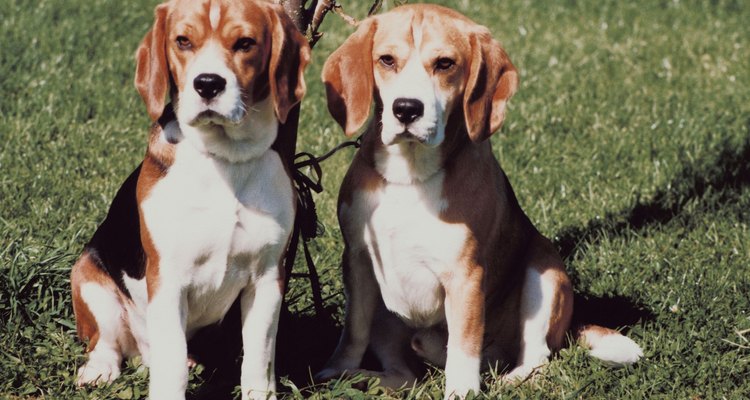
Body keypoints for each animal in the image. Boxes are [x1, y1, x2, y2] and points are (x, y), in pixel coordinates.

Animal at [67, 1, 308, 398]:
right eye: (183, 41)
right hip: (87, 276)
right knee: (106, 343)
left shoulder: (267, 278)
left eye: (245, 43)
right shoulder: (168, 279)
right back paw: (99, 369)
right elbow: (173, 364)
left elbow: (258, 356)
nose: (208, 83)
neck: (225, 159)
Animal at [314, 4, 644, 398]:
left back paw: (510, 380)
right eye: (387, 60)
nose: (406, 109)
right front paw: (336, 369)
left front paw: (461, 391)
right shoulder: (359, 260)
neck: (411, 176)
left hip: (544, 273)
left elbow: (463, 345)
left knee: (537, 356)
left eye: (444, 64)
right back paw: (362, 378)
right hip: (389, 316)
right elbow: (353, 332)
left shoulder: (466, 276)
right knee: (405, 375)